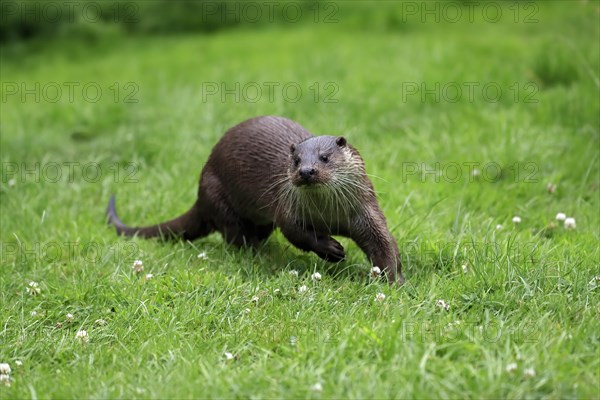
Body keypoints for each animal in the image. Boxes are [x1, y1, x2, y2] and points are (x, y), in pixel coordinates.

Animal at [110, 115, 406, 284]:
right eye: (296, 160)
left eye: (324, 157)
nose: (306, 171)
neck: (329, 217)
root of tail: (199, 194)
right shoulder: (287, 210)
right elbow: (297, 234)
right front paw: (331, 249)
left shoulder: (366, 211)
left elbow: (383, 242)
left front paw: (395, 281)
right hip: (217, 195)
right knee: (235, 236)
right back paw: (260, 254)